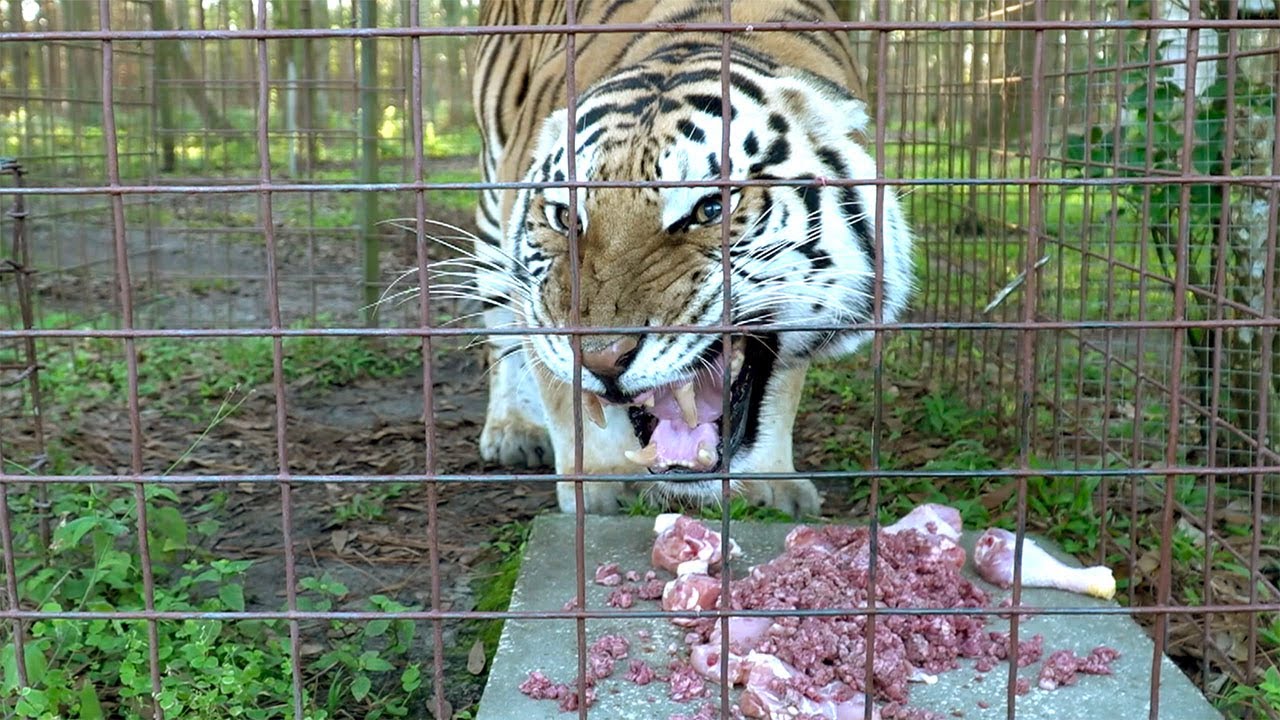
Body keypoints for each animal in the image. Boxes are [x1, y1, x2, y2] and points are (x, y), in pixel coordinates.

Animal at [466, 0, 913, 515]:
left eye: (711, 209)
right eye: (565, 218)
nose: (601, 359)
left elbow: (781, 391)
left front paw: (771, 481)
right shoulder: (536, 302)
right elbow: (564, 394)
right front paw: (599, 483)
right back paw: (513, 430)